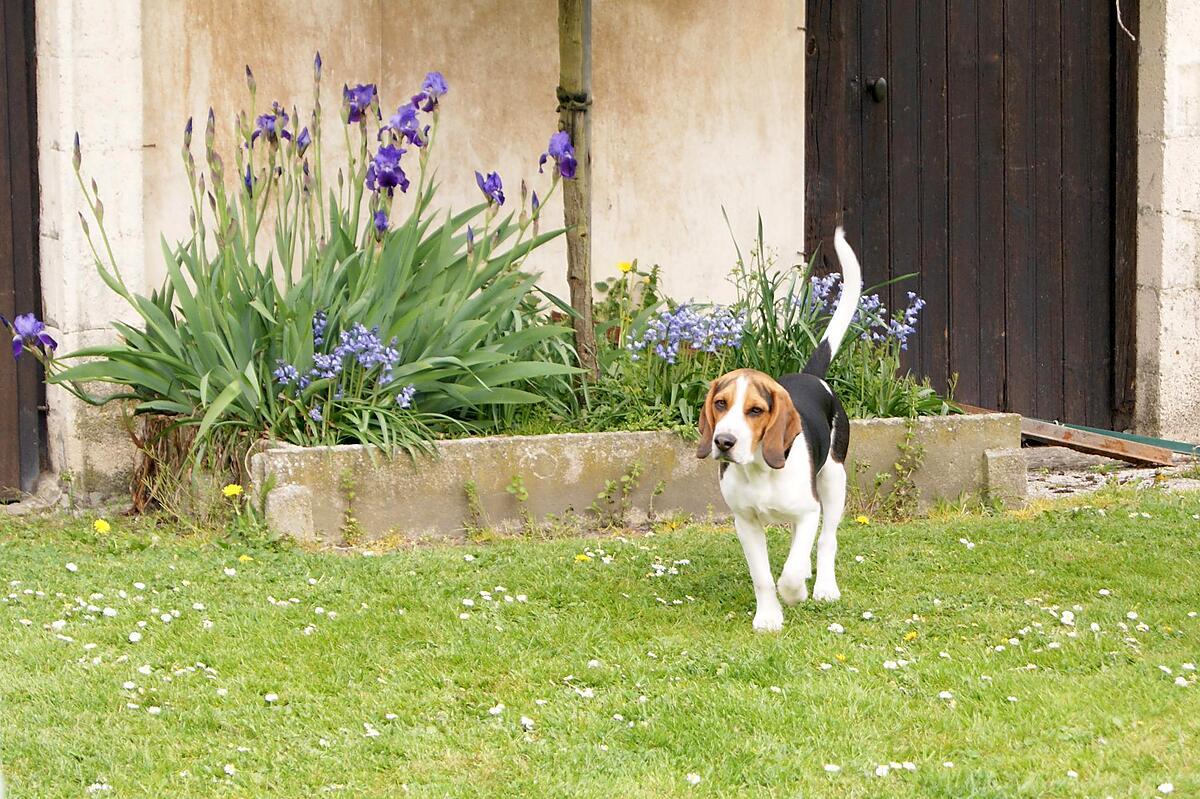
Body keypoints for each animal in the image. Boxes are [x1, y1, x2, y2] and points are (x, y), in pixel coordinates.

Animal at [696, 226, 864, 633]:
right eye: (720, 404)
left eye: (755, 410)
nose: (723, 442)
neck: (759, 470)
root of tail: (810, 377)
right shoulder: (745, 522)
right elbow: (763, 577)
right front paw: (769, 616)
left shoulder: (809, 511)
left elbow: (789, 572)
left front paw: (796, 592)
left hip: (834, 480)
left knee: (826, 540)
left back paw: (823, 587)